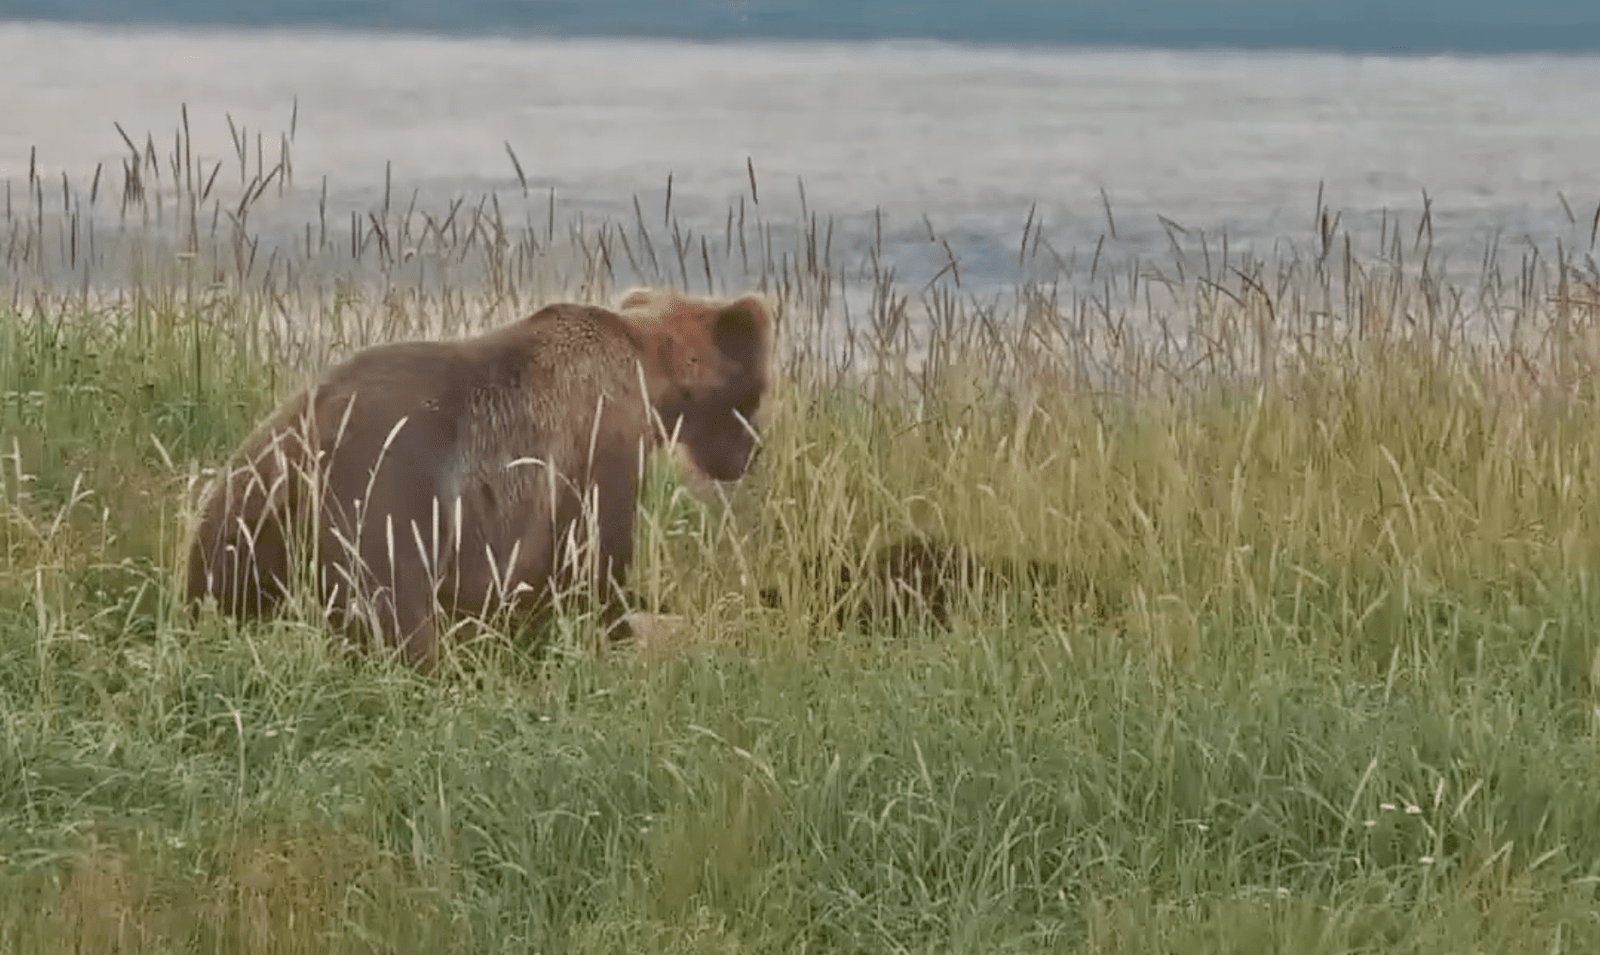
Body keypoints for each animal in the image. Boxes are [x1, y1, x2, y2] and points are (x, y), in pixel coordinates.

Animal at [185, 288, 775, 671]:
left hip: (249, 501)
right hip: (384, 495)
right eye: (758, 391)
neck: (647, 376)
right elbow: (595, 562)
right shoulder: (599, 447)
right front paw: (621, 629)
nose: (749, 455)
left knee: (222, 579)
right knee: (395, 608)